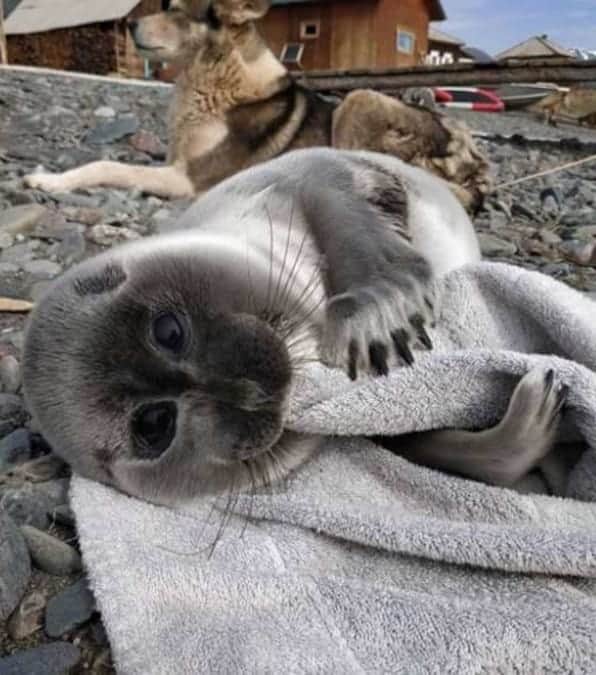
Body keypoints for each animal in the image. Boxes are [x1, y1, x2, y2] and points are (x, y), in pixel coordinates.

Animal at [24, 0, 488, 213]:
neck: (215, 76)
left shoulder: (188, 179)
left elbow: (107, 166)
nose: (128, 23)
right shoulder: (175, 161)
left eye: (176, 9)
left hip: (357, 101)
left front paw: (49, 180)